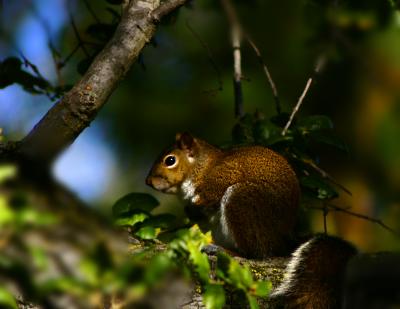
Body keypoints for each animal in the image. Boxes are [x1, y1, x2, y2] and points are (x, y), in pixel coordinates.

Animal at [148, 133, 360, 308]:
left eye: (170, 160)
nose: (148, 182)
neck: (200, 167)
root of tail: (281, 240)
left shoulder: (224, 175)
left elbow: (211, 194)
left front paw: (197, 202)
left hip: (242, 201)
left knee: (252, 253)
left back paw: (222, 250)